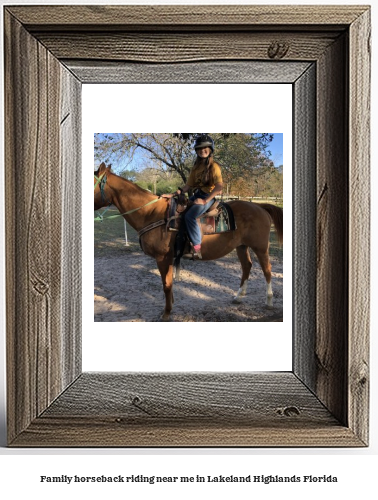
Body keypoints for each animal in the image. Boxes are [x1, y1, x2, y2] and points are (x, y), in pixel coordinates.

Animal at [94, 162, 284, 322]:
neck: (152, 214)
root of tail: (260, 207)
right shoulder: (169, 258)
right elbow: (169, 284)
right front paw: (170, 306)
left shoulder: (163, 258)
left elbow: (166, 285)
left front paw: (167, 313)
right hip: (241, 246)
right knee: (247, 266)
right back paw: (238, 297)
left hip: (260, 247)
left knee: (267, 270)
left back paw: (269, 301)